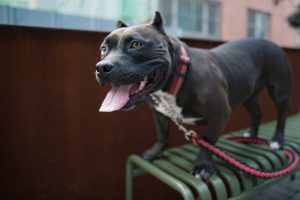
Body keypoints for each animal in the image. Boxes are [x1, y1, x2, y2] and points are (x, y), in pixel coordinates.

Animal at [96, 12, 292, 178]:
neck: (177, 77)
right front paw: (156, 152)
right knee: (257, 112)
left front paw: (203, 165)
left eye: (136, 45)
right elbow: (162, 134)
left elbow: (207, 141)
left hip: (280, 92)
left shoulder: (220, 114)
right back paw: (251, 134)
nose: (102, 67)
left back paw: (276, 141)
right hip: (249, 95)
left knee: (282, 116)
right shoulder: (159, 113)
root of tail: (271, 43)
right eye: (103, 48)